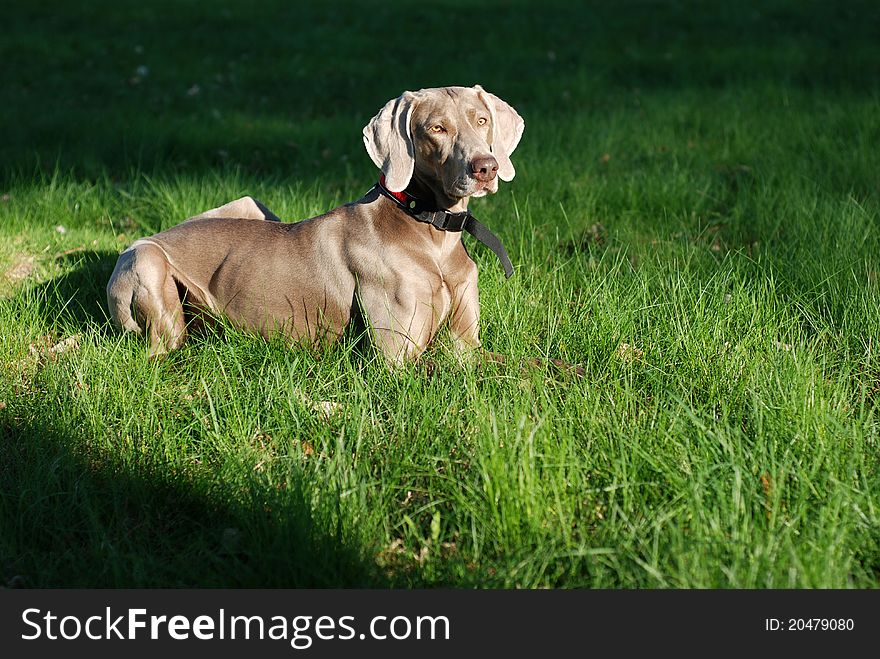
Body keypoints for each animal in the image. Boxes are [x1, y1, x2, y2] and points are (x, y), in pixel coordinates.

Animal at [107, 84, 524, 364]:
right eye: (436, 128)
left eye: (482, 121)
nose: (486, 167)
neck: (431, 229)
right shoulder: (396, 359)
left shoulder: (466, 345)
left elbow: (515, 364)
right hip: (148, 265)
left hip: (253, 204)